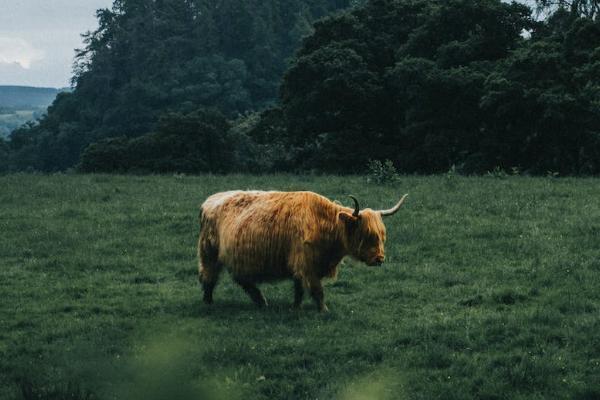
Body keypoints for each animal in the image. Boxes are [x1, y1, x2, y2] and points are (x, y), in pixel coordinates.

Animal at [198, 191, 408, 312]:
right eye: (366, 235)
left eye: (381, 235)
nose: (379, 258)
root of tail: (209, 200)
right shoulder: (306, 264)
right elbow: (317, 290)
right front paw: (324, 310)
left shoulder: (300, 266)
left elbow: (299, 289)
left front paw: (296, 307)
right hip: (209, 253)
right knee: (209, 277)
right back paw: (208, 302)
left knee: (243, 281)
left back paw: (261, 302)